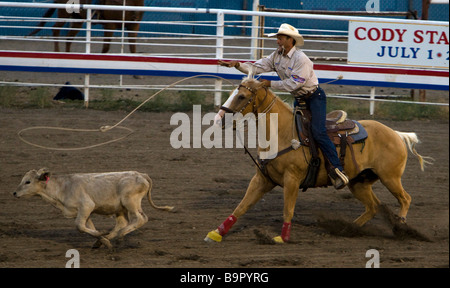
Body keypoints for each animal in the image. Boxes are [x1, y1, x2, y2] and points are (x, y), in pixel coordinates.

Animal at [12, 169, 174, 248]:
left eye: (27, 182)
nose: (14, 193)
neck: (62, 188)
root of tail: (141, 175)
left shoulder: (86, 206)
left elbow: (79, 226)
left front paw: (103, 236)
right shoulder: (84, 212)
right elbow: (88, 227)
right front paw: (102, 239)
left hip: (131, 202)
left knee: (140, 219)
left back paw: (120, 235)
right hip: (121, 208)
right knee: (122, 223)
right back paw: (107, 239)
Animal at [205, 78, 432, 243]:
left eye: (241, 96)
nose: (219, 119)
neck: (283, 132)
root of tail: (396, 134)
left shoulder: (292, 179)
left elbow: (288, 209)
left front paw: (282, 237)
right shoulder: (263, 179)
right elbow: (241, 206)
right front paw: (217, 233)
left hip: (390, 177)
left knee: (405, 199)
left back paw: (400, 226)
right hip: (359, 182)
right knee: (373, 207)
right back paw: (347, 229)